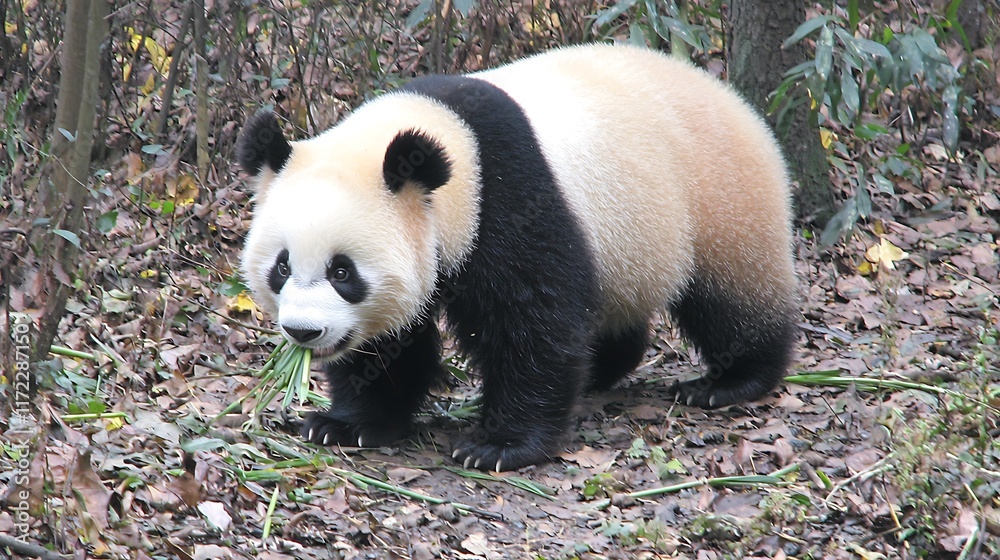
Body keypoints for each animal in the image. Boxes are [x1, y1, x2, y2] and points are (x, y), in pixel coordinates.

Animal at [237, 43, 798, 472]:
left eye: (342, 271)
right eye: (282, 266)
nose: (304, 332)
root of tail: (729, 96)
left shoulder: (509, 197)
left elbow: (532, 320)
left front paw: (498, 447)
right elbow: (389, 344)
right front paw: (347, 423)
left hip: (718, 194)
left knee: (731, 295)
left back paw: (731, 381)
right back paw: (603, 368)